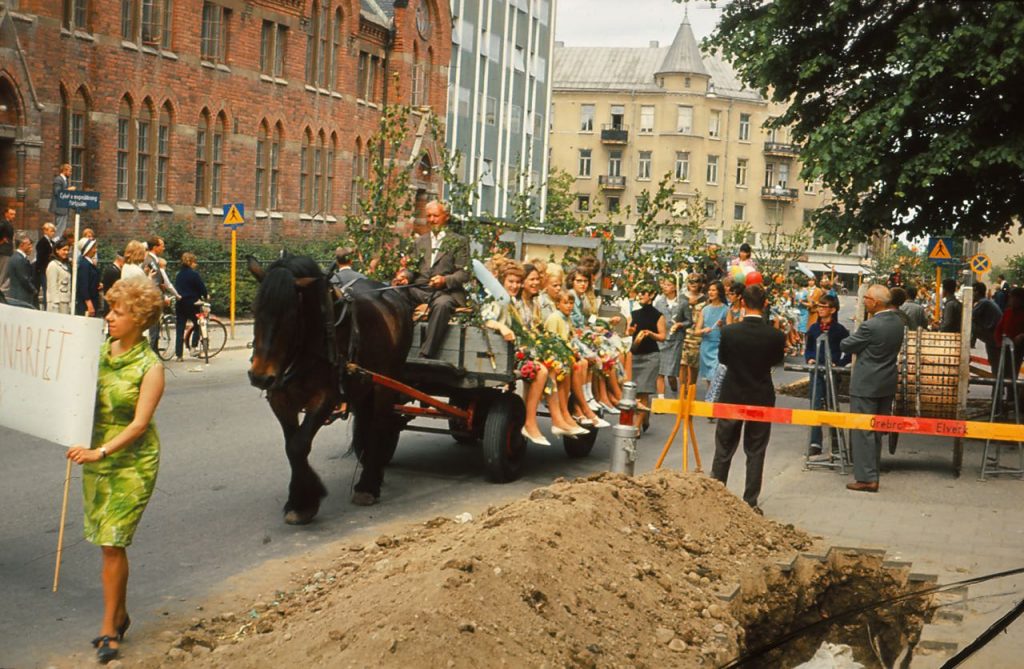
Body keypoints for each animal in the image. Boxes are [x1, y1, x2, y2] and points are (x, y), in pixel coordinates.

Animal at [247, 254, 411, 522]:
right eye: (254, 309)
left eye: (291, 315)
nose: (260, 376)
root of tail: (393, 294)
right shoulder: (280, 398)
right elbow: (292, 446)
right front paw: (299, 500)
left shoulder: (326, 398)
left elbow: (298, 445)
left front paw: (306, 500)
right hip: (364, 384)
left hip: (386, 381)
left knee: (380, 423)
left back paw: (368, 485)